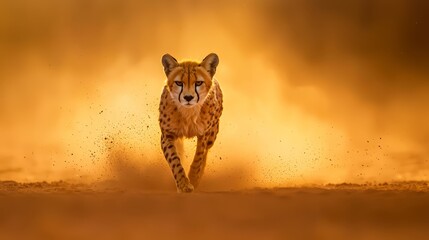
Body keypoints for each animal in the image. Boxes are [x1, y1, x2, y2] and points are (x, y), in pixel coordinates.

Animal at [158, 53, 224, 192]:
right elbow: (174, 159)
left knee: (205, 153)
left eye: (198, 82)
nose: (188, 97)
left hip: (213, 135)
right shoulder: (167, 134)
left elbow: (199, 156)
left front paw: (193, 177)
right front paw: (183, 184)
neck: (188, 112)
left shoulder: (205, 133)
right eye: (179, 83)